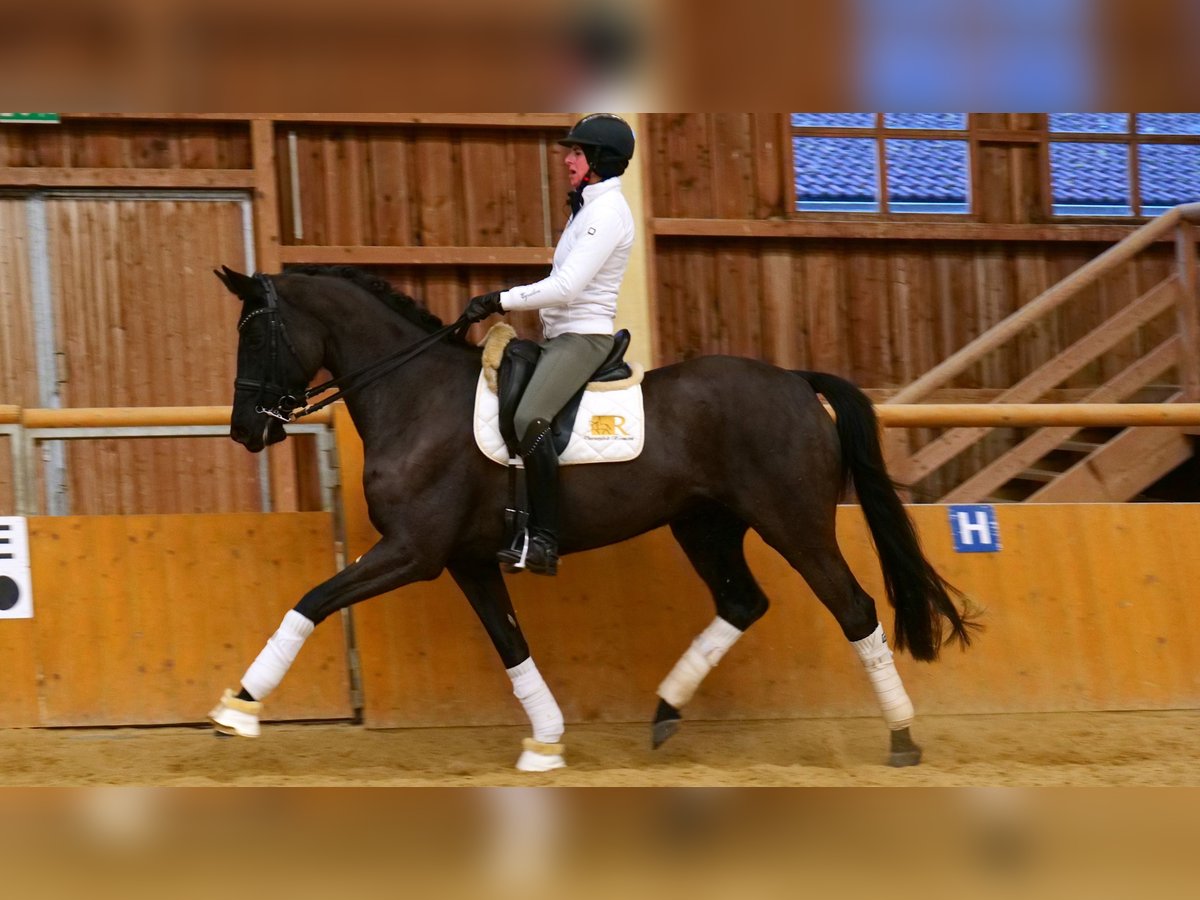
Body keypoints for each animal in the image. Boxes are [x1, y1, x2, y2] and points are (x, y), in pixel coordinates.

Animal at [206, 264, 974, 772]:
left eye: (255, 335)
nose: (245, 429)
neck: (414, 396)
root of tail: (793, 381)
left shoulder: (413, 552)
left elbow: (311, 601)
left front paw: (238, 708)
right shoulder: (465, 559)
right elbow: (511, 644)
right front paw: (546, 740)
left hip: (795, 525)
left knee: (855, 609)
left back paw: (903, 739)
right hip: (704, 525)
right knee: (742, 601)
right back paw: (665, 712)